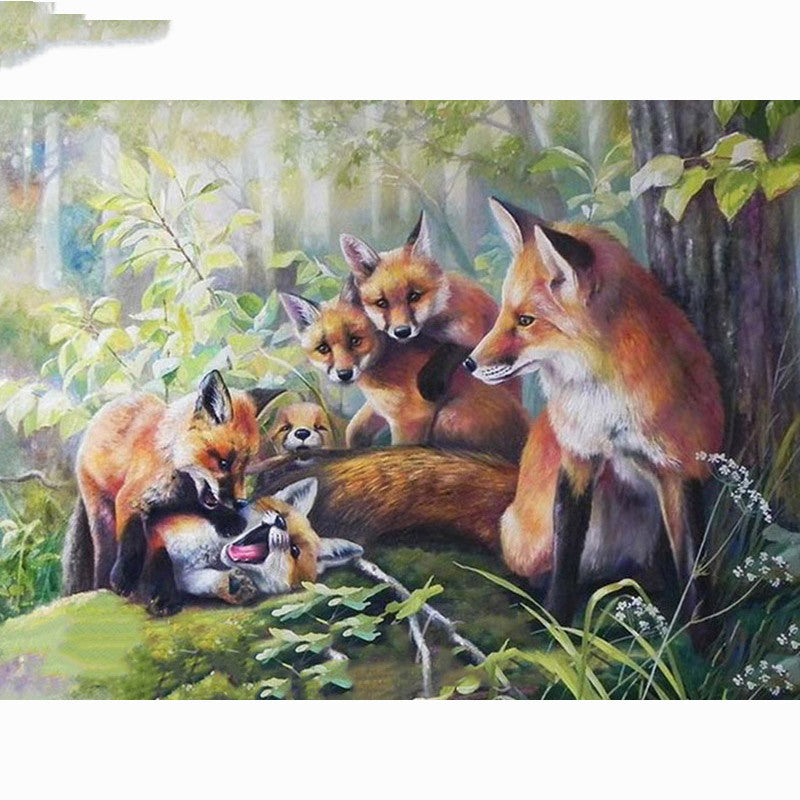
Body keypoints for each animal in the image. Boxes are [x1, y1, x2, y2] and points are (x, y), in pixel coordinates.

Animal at [61, 369, 285, 614]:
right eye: (224, 462)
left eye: (244, 466)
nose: (240, 503)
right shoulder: (130, 498)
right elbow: (134, 542)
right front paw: (128, 579)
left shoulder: (177, 505)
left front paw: (227, 519)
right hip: (101, 515)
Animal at [150, 478, 362, 603]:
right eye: (281, 515)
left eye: (294, 550)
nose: (280, 522)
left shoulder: (186, 575)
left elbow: (205, 582)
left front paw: (234, 585)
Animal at [280, 282, 530, 462]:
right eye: (323, 349)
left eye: (355, 341)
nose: (344, 374)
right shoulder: (380, 407)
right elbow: (354, 430)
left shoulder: (411, 417)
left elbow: (399, 450)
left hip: (448, 418)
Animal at [340, 212, 522, 402]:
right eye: (382, 303)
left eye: (414, 296)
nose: (402, 331)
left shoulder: (475, 333)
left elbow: (452, 349)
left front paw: (430, 380)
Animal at [465, 197, 724, 630]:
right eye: (504, 313)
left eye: (526, 321)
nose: (468, 363)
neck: (609, 411)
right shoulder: (578, 456)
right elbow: (566, 556)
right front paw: (556, 625)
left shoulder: (680, 465)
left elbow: (693, 569)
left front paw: (704, 636)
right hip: (547, 529)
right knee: (539, 565)